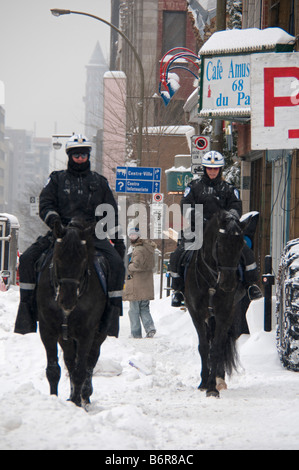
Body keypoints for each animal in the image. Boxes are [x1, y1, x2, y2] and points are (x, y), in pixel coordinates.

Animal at [36, 220, 109, 408]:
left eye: (83, 260)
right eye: (57, 258)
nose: (67, 301)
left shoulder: (87, 333)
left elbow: (80, 371)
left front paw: (77, 404)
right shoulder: (47, 330)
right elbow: (53, 370)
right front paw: (54, 399)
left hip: (98, 335)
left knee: (91, 361)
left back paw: (85, 396)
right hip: (66, 337)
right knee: (69, 361)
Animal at [185, 209, 248, 396]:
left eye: (241, 245)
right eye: (219, 245)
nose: (228, 284)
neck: (212, 280)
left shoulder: (224, 314)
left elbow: (216, 349)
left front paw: (212, 386)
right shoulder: (196, 314)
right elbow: (204, 347)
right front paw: (204, 383)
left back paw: (220, 379)